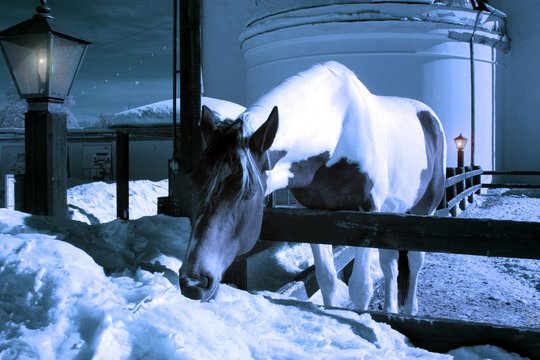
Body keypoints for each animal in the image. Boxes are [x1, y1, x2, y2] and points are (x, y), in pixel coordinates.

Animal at [179, 62, 446, 316]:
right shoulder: (315, 216)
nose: (193, 282)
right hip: (392, 213)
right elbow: (326, 279)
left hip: (424, 210)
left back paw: (410, 311)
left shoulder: (366, 214)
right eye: (192, 185)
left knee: (415, 261)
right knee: (389, 265)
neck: (338, 131)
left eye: (248, 193)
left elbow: (360, 288)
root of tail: (429, 115)